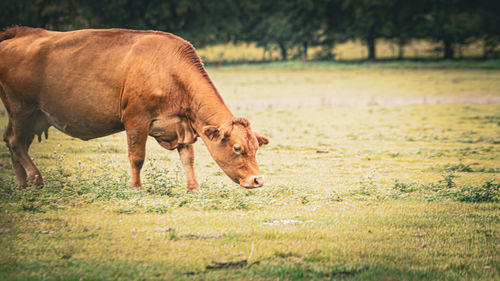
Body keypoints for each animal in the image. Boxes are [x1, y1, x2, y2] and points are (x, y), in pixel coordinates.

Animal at [0, 26, 270, 190]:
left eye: (256, 147)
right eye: (237, 148)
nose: (257, 179)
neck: (169, 70)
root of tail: (20, 33)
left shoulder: (182, 124)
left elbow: (188, 159)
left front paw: (193, 188)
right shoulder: (136, 119)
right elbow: (137, 157)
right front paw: (136, 187)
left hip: (33, 116)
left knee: (15, 143)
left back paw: (22, 184)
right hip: (22, 110)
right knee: (15, 141)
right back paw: (36, 179)